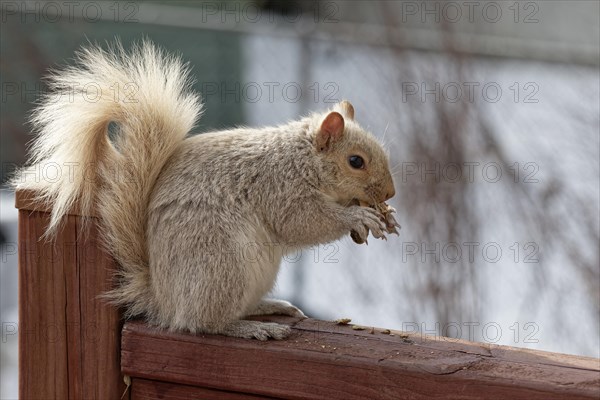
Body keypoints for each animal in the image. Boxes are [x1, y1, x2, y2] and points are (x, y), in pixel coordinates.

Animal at [14, 41, 396, 340]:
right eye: (356, 161)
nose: (391, 194)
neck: (300, 159)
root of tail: (163, 300)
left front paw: (385, 219)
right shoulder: (279, 188)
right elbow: (302, 223)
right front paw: (358, 217)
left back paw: (268, 307)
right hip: (221, 266)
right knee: (202, 323)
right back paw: (250, 328)